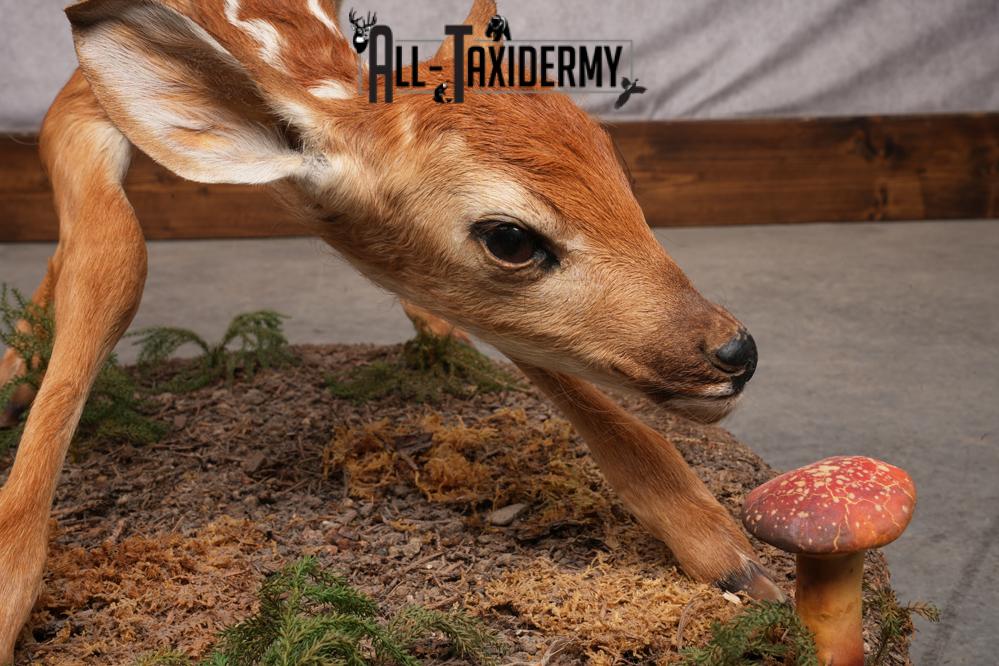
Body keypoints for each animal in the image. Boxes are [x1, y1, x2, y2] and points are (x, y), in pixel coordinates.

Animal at [0, 0, 783, 659]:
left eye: (617, 169)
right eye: (509, 237)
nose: (734, 351)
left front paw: (732, 557)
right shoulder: (80, 94)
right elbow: (112, 257)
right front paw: (8, 583)